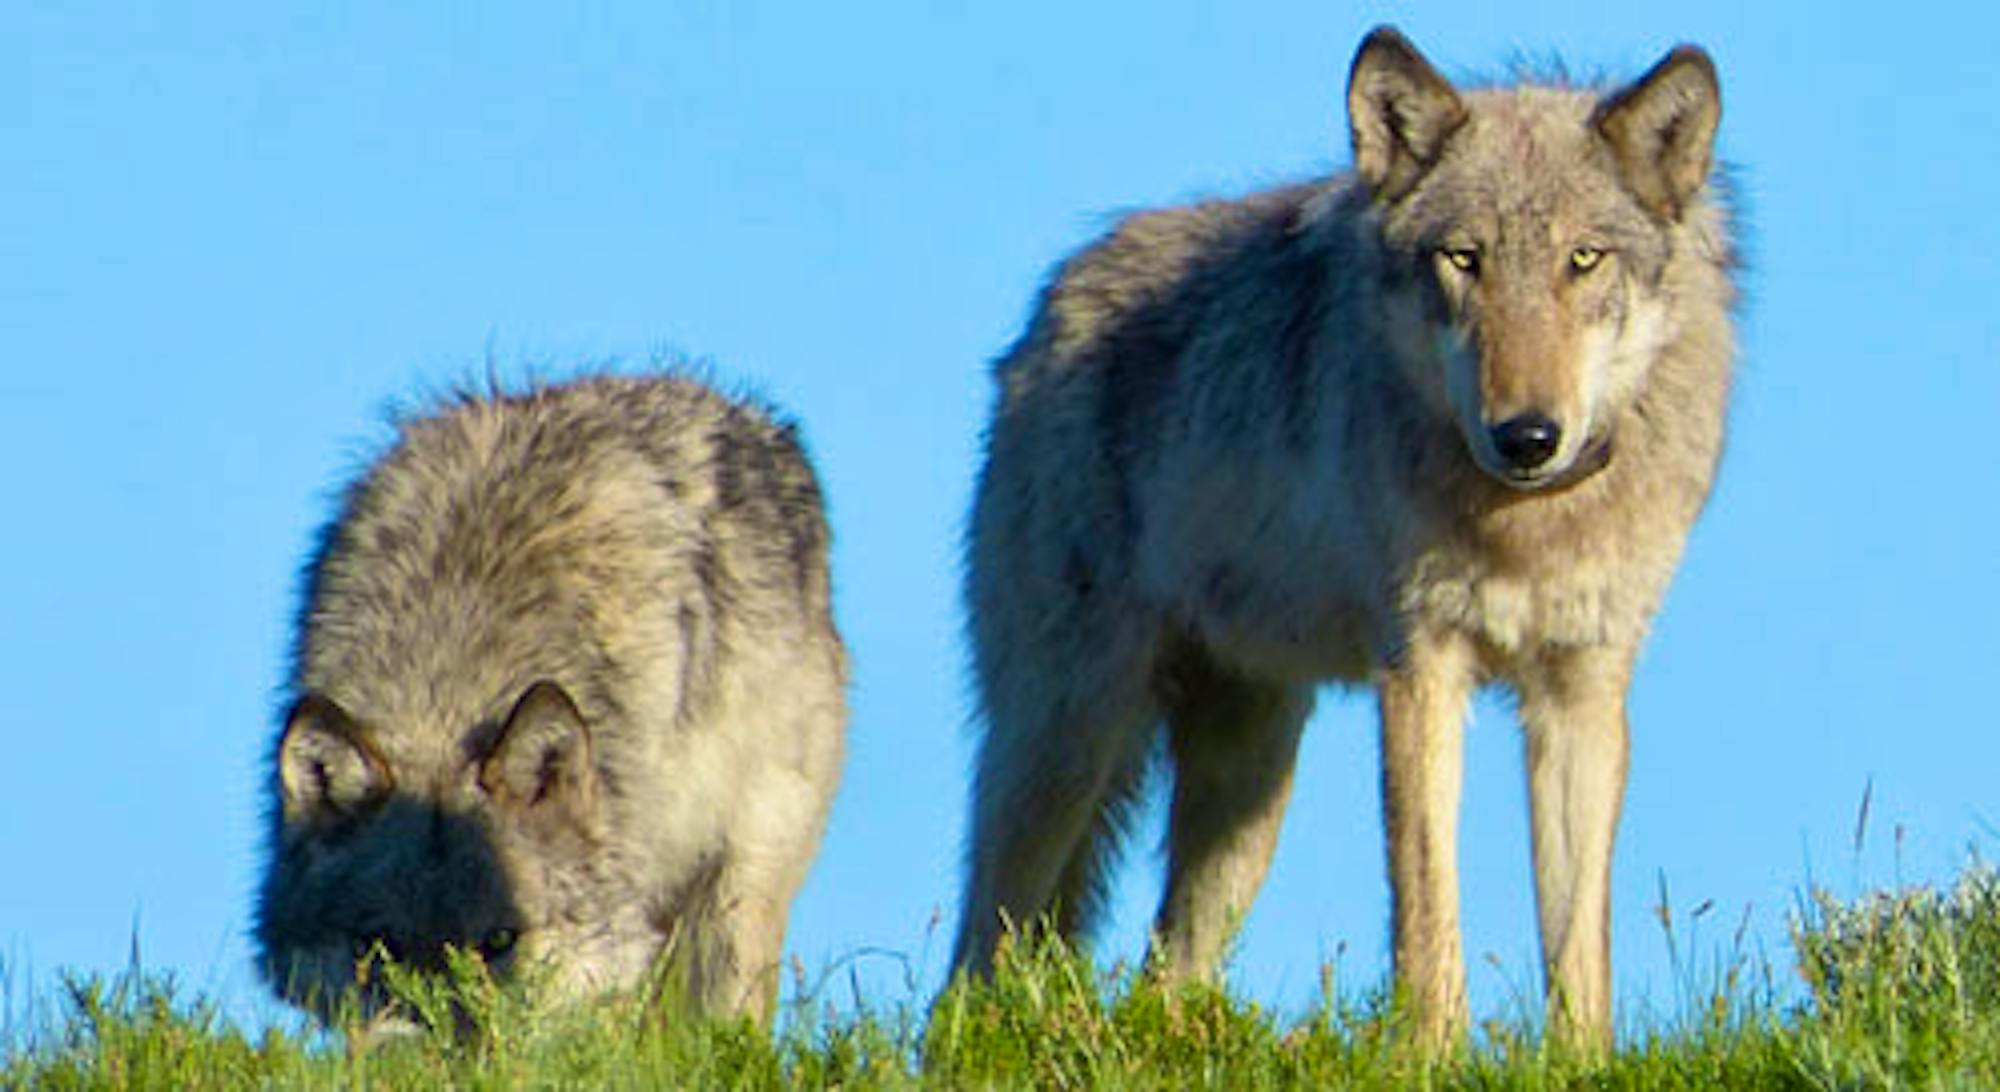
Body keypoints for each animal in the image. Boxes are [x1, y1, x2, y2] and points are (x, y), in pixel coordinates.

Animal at [952, 27, 1736, 1048]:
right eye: (1465, 259)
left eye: (1584, 259)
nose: (1527, 437)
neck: (1524, 523)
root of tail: (1050, 305)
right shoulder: (1420, 665)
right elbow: (1427, 904)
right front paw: (1434, 1053)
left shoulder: (1584, 690)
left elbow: (1576, 941)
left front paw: (1581, 1060)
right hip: (1068, 738)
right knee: (975, 939)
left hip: (1247, 793)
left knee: (1163, 967)